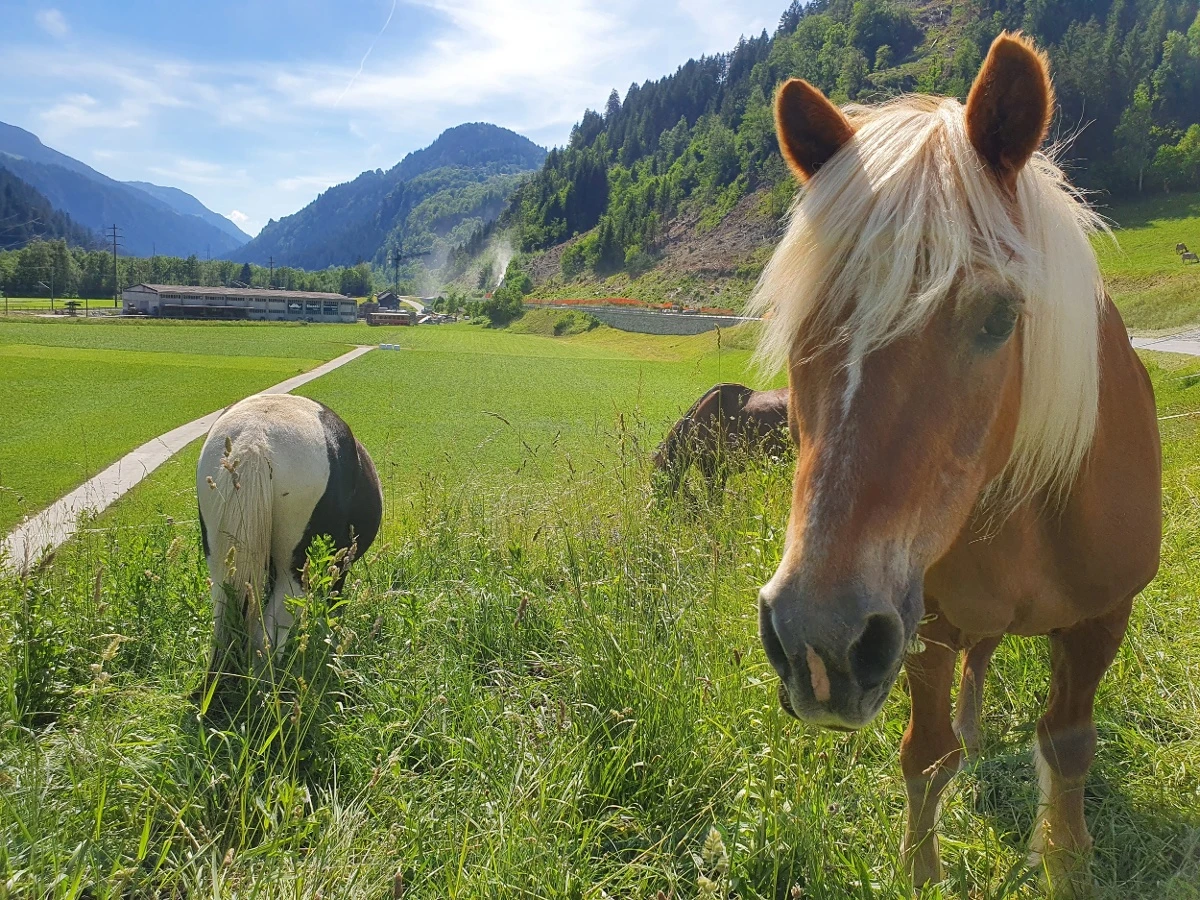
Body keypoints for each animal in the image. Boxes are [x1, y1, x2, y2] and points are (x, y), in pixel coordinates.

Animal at [197, 394, 383, 680]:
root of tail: (255, 438)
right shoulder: (339, 566)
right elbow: (333, 605)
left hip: (221, 564)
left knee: (225, 631)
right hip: (296, 571)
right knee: (266, 638)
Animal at [750, 33, 1161, 895]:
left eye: (1000, 319)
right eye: (797, 326)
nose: (816, 642)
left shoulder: (1104, 619)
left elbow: (1067, 745)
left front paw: (1067, 861)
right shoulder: (921, 624)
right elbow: (926, 755)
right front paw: (921, 869)